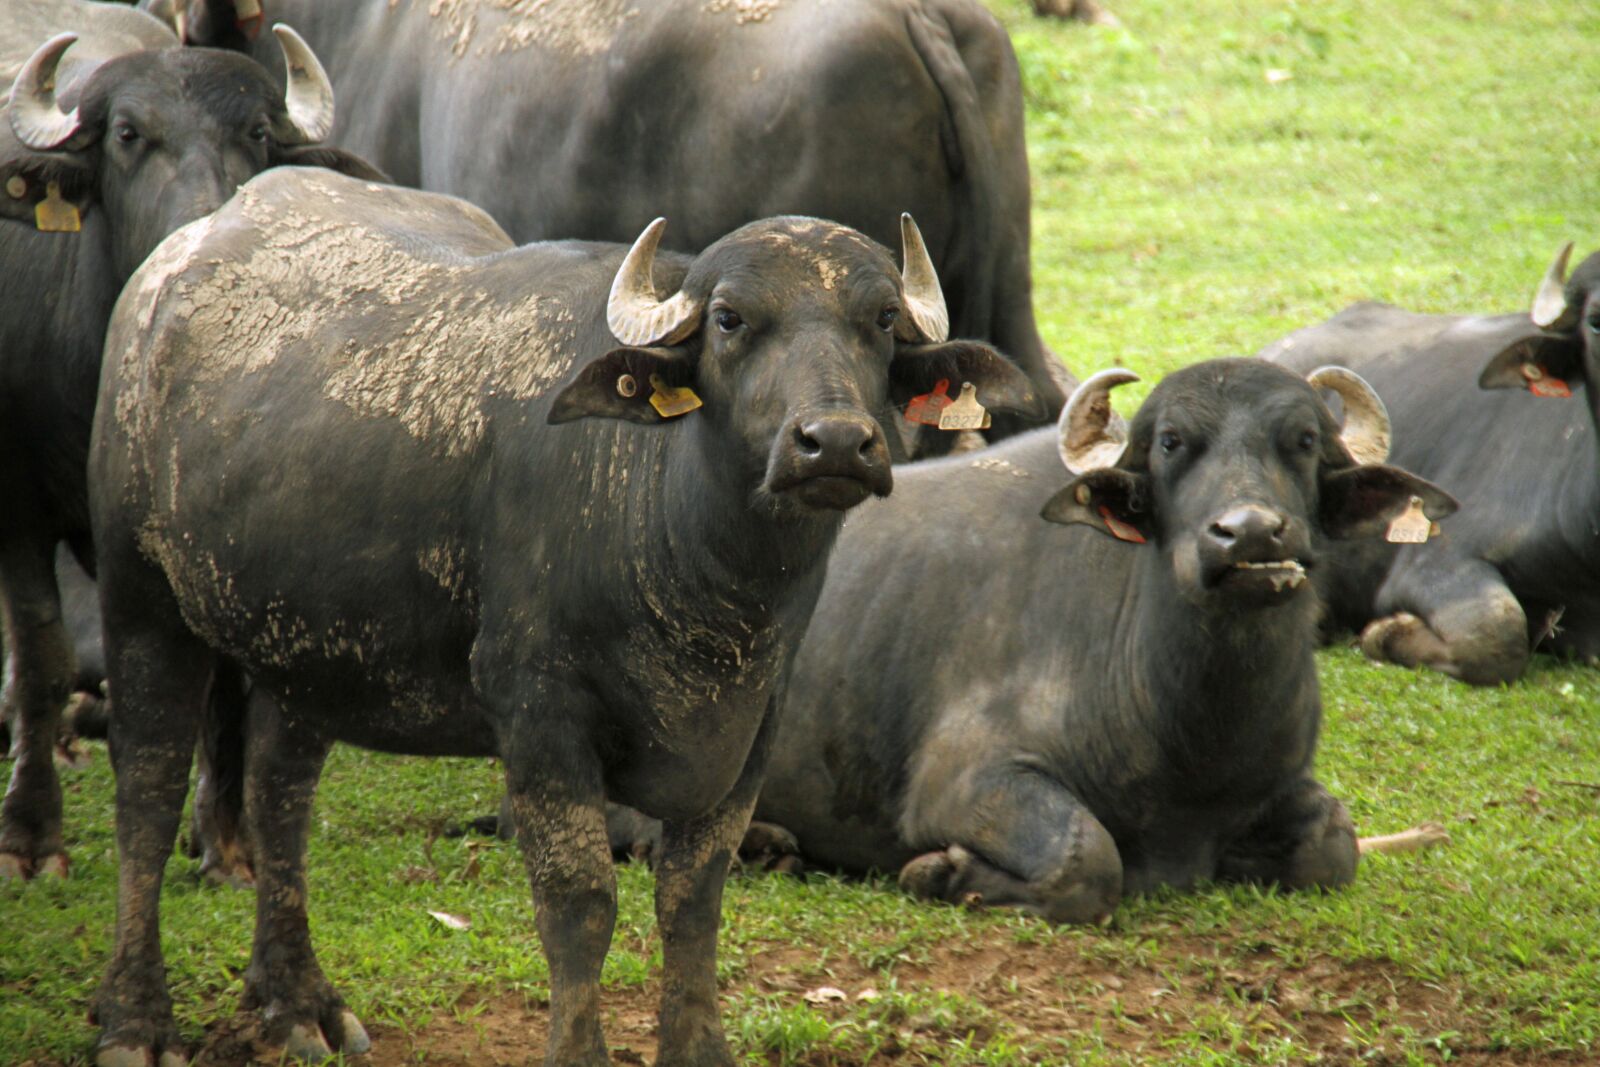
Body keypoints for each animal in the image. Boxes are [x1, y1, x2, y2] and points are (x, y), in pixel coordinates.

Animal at [0, 1, 378, 881]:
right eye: (128, 133)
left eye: (258, 133)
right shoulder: (18, 500)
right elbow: (42, 652)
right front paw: (31, 835)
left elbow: (226, 679)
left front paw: (227, 834)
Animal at [86, 166, 1042, 1066]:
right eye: (730, 319)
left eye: (880, 319)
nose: (835, 443)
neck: (695, 575)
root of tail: (163, 279)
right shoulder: (538, 713)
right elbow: (580, 900)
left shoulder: (752, 725)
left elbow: (695, 896)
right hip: (141, 598)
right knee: (148, 791)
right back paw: (135, 1019)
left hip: (304, 647)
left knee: (279, 794)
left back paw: (297, 1004)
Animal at [731, 360, 1454, 922]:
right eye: (1171, 442)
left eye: (1302, 440)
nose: (1249, 533)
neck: (1193, 737)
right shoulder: (962, 782)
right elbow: (1088, 857)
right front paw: (940, 872)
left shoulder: (1280, 779)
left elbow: (1333, 842)